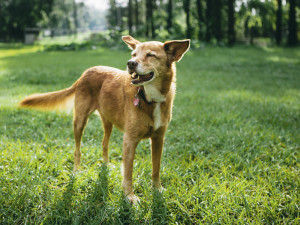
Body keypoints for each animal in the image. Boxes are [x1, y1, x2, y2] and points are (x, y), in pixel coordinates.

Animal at [19, 35, 190, 202]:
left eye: (150, 55)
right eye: (133, 55)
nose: (130, 63)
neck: (150, 98)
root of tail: (86, 73)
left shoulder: (159, 138)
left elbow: (156, 168)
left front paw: (157, 190)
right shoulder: (130, 139)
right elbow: (128, 172)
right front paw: (129, 196)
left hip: (108, 121)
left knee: (104, 143)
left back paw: (106, 166)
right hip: (80, 121)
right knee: (77, 150)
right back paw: (76, 171)